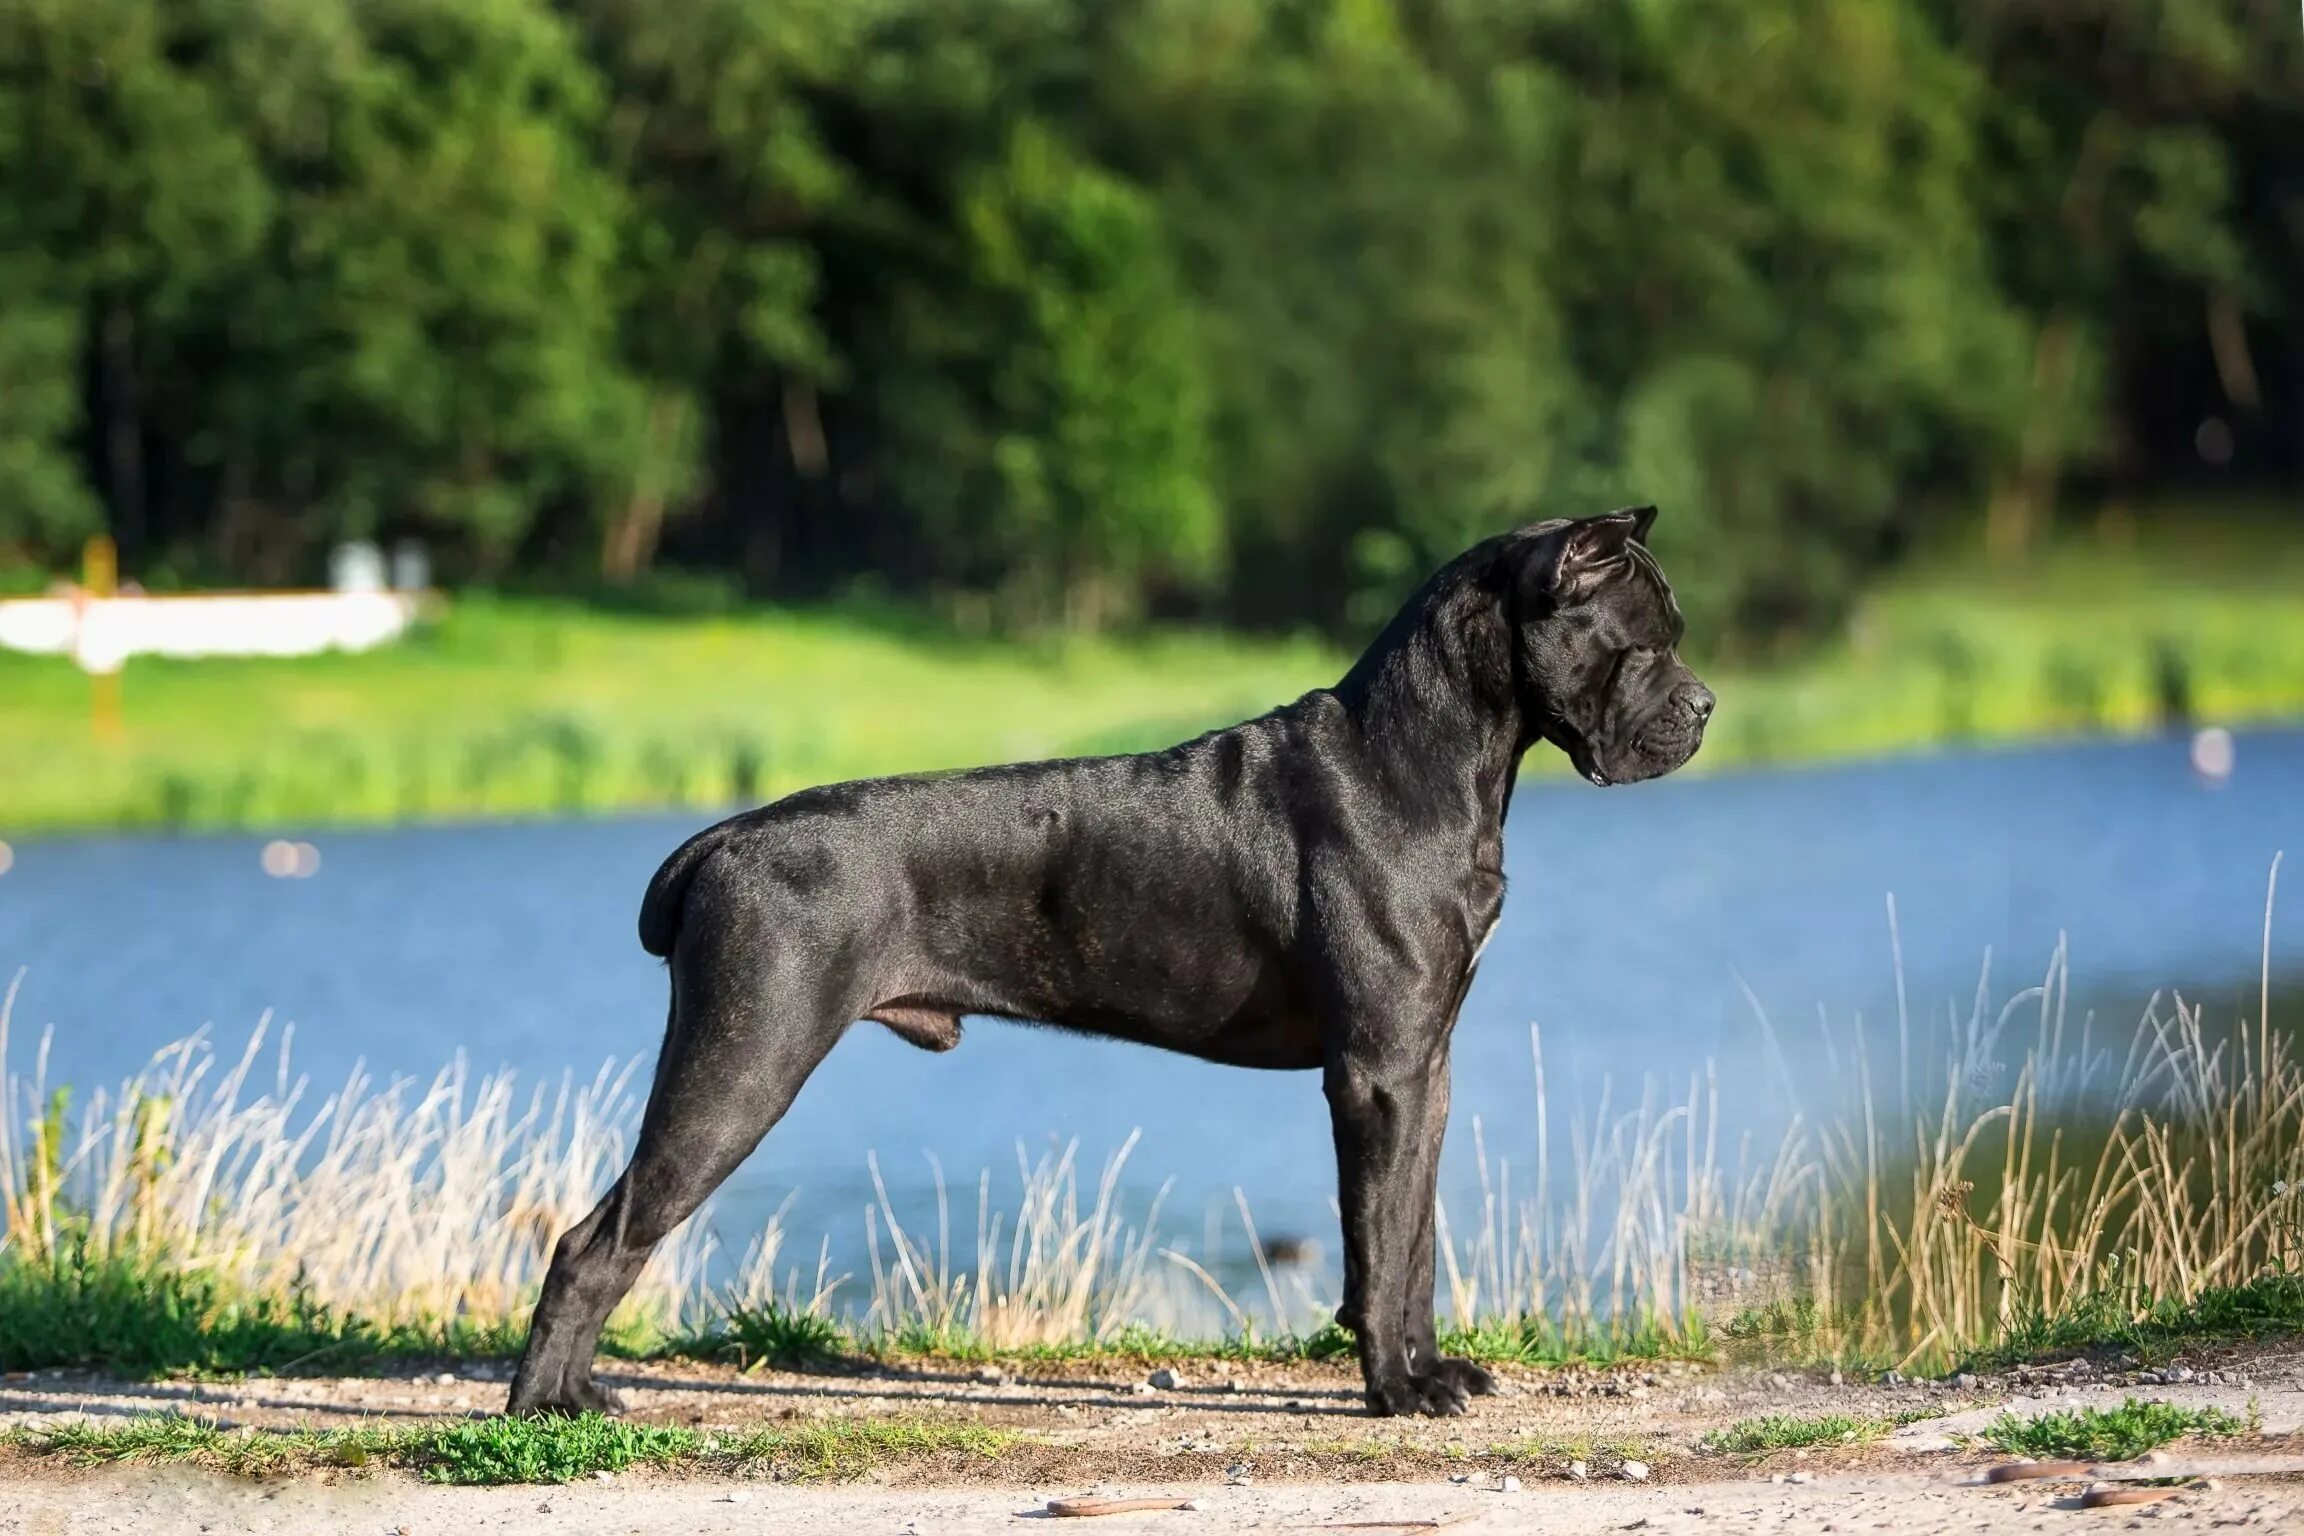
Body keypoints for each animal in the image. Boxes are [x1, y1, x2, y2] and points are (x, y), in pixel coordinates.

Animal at [513, 504, 1723, 1418]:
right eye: (1644, 639)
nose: (1706, 704)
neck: (1426, 754)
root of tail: (723, 839)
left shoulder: (1422, 1066)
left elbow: (1412, 1235)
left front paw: (1427, 1373)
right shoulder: (1378, 1072)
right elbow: (1378, 1243)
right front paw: (1393, 1391)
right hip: (745, 1058)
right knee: (596, 1238)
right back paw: (550, 1409)